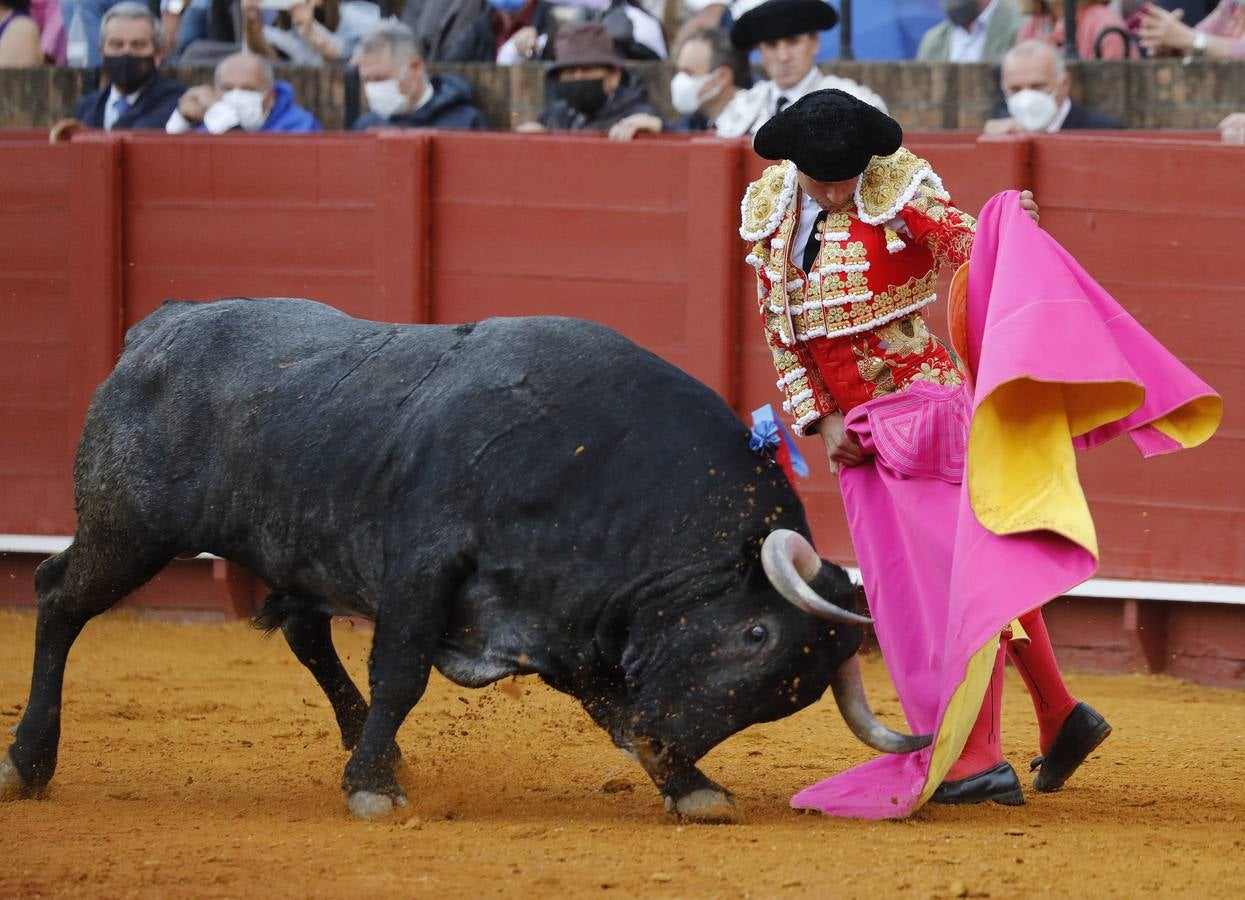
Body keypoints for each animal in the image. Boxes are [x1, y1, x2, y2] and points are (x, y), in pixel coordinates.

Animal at [0, 298, 926, 821]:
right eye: (755, 639)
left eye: (791, 697)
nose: (663, 746)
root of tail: (159, 328)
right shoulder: (425, 567)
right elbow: (402, 674)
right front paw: (371, 790)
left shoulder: (569, 624)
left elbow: (609, 707)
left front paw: (689, 787)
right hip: (128, 528)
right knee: (57, 600)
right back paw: (27, 764)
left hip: (285, 545)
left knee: (304, 633)